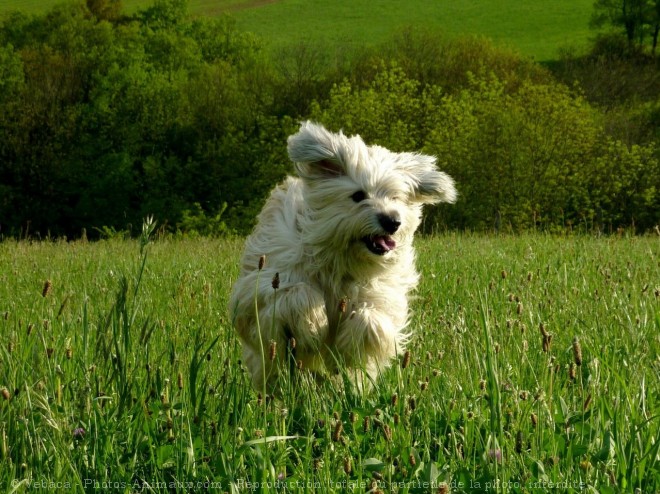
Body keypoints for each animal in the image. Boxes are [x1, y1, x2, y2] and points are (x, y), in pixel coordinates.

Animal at [229, 121, 456, 392]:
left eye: (395, 197)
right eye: (358, 195)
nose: (392, 221)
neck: (340, 259)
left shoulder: (384, 293)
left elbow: (372, 317)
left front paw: (347, 346)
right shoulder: (262, 285)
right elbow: (297, 293)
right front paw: (313, 326)